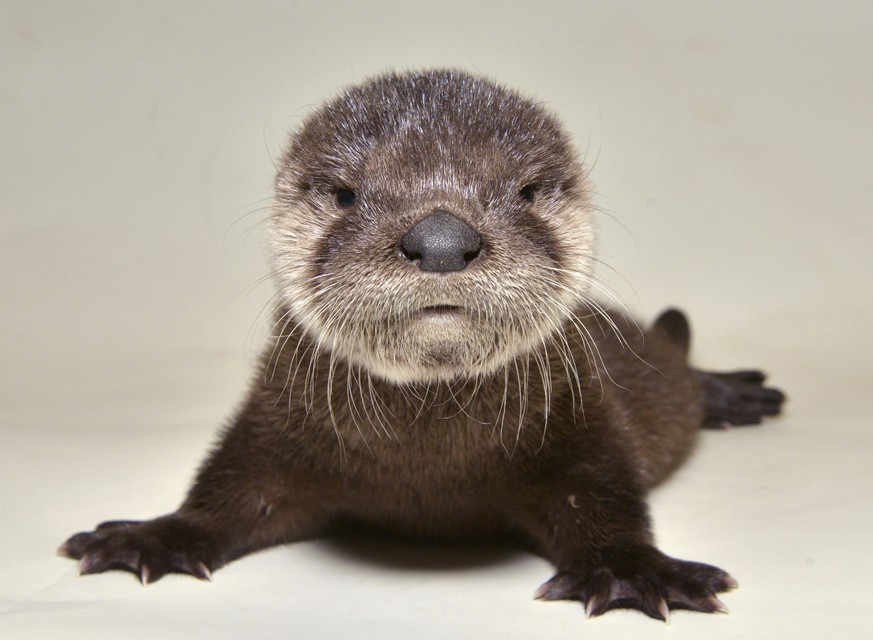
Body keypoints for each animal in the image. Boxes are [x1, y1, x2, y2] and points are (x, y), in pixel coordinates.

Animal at [61, 69, 784, 620]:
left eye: (524, 190)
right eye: (345, 193)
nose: (440, 240)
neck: (426, 459)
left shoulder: (584, 419)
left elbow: (603, 501)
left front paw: (634, 571)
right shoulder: (271, 422)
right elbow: (227, 492)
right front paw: (154, 535)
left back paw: (732, 393)